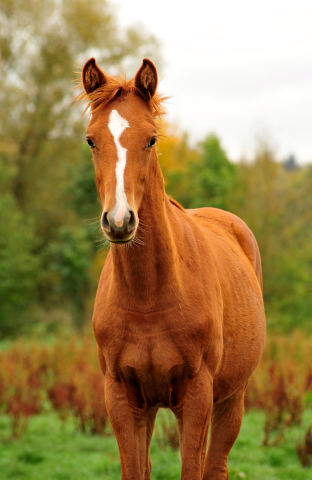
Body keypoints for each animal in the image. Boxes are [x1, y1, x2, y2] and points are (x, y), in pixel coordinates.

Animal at [76, 57, 266, 480]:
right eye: (91, 140)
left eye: (151, 139)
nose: (119, 221)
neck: (149, 296)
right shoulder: (122, 398)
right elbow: (135, 470)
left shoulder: (197, 398)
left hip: (233, 399)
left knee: (216, 466)